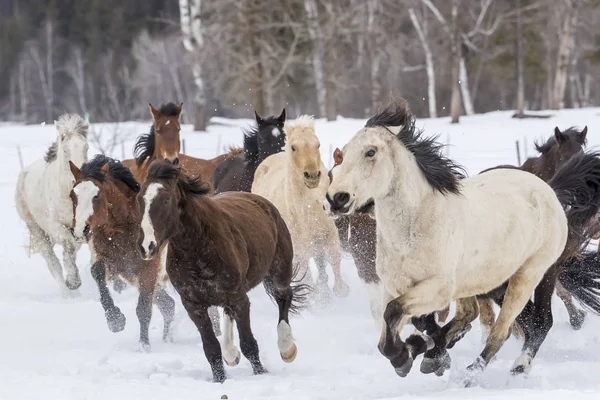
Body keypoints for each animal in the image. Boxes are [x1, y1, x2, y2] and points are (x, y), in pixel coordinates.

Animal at [14, 114, 89, 296]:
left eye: (86, 148)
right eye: (65, 150)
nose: (81, 182)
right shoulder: (55, 225)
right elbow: (68, 245)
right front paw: (73, 282)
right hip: (36, 229)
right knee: (53, 263)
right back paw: (67, 293)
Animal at [70, 155, 175, 352]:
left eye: (96, 195)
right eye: (72, 195)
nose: (80, 230)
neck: (123, 229)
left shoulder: (148, 269)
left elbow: (143, 308)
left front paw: (143, 346)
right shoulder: (116, 265)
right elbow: (98, 272)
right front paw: (115, 319)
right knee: (169, 306)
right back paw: (168, 339)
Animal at [136, 159, 304, 382]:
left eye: (165, 199)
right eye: (139, 199)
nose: (146, 246)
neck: (197, 250)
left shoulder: (239, 299)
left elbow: (249, 344)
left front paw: (260, 373)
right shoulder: (194, 306)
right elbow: (211, 348)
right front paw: (220, 379)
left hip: (279, 272)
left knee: (284, 298)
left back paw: (286, 349)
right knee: (227, 314)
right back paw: (231, 354)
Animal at [251, 115, 350, 300]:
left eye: (317, 144)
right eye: (293, 147)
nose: (312, 175)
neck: (308, 210)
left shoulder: (329, 233)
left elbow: (334, 259)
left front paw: (340, 290)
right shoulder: (298, 249)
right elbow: (306, 275)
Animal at [326, 97, 600, 384]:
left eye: (370, 152)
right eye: (343, 155)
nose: (337, 198)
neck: (415, 225)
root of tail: (551, 192)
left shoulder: (439, 288)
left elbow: (395, 314)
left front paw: (408, 357)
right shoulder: (396, 286)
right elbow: (393, 329)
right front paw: (423, 352)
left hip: (533, 275)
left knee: (523, 325)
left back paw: (491, 371)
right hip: (489, 282)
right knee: (511, 320)